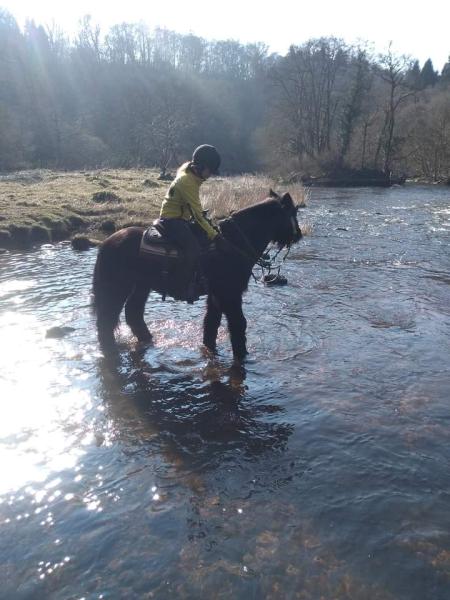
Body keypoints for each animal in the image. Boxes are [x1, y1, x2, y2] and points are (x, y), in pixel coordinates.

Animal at [91, 189, 302, 360]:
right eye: (293, 212)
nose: (298, 235)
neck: (232, 244)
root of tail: (107, 243)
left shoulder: (217, 296)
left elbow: (211, 324)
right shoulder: (230, 295)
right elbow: (238, 325)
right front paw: (242, 355)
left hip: (141, 286)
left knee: (133, 314)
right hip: (117, 288)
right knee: (107, 320)